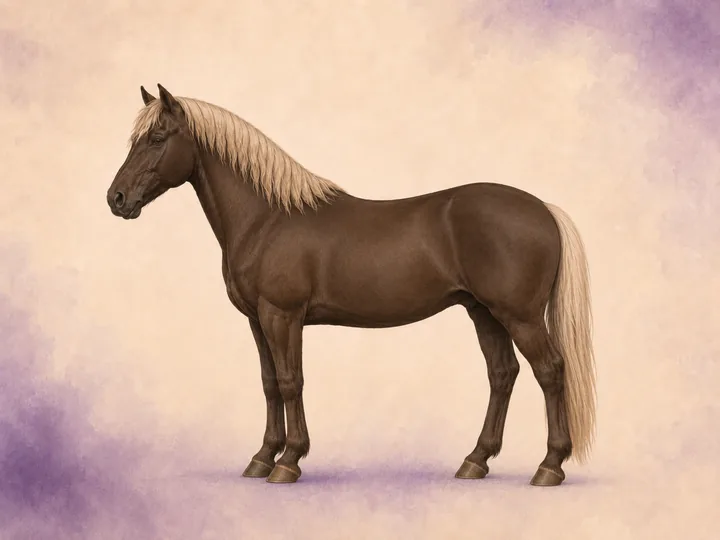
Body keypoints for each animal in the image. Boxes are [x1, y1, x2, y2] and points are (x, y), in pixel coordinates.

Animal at [106, 84, 596, 487]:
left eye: (156, 138)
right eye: (135, 139)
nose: (116, 199)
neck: (268, 218)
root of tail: (544, 209)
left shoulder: (282, 315)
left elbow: (291, 381)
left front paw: (289, 462)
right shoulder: (256, 320)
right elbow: (268, 382)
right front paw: (262, 457)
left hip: (520, 316)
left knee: (550, 371)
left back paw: (549, 467)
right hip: (483, 312)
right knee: (502, 374)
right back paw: (475, 461)